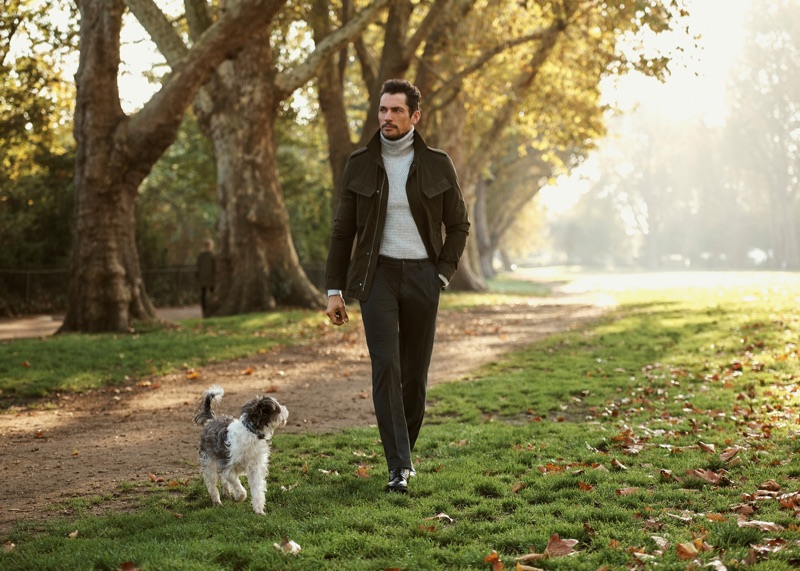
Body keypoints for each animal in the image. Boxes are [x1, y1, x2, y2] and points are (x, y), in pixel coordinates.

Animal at [192, 386, 290, 516]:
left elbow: (257, 490)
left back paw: (226, 493)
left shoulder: (256, 468)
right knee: (212, 484)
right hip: (208, 463)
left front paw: (259, 511)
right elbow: (236, 484)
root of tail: (211, 420)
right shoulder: (228, 467)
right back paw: (217, 501)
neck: (251, 432)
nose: (286, 409)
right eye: (278, 407)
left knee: (223, 480)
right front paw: (239, 497)